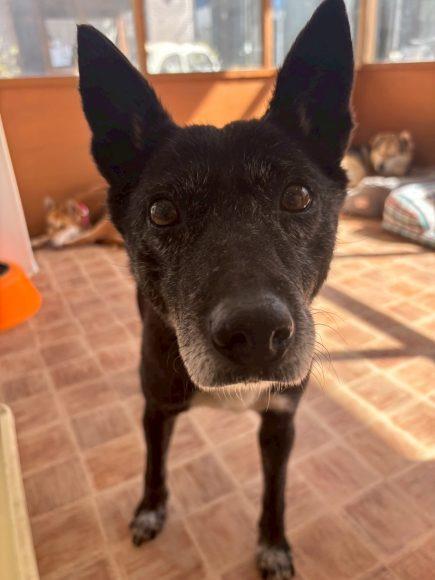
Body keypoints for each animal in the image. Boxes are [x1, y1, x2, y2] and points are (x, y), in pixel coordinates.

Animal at [77, 0, 354, 577]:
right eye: (162, 211)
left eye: (298, 196)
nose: (256, 332)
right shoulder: (157, 409)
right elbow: (152, 467)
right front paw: (149, 511)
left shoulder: (281, 421)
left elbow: (276, 493)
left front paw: (273, 544)